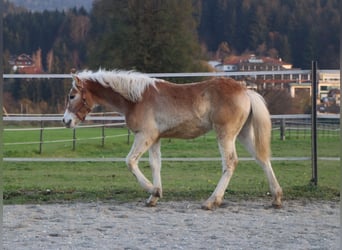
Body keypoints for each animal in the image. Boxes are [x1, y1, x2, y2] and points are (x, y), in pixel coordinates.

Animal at [62, 69, 282, 210]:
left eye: (72, 95)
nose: (66, 121)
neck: (136, 99)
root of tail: (245, 90)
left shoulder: (145, 136)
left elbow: (130, 162)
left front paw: (153, 190)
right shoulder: (155, 139)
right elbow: (155, 165)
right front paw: (153, 197)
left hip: (225, 135)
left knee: (230, 163)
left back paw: (211, 201)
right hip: (243, 134)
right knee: (262, 159)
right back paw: (276, 198)